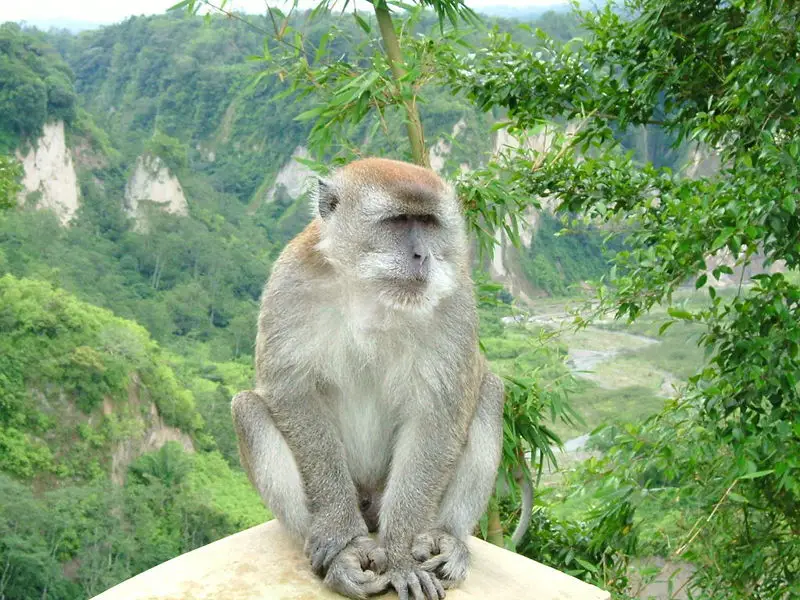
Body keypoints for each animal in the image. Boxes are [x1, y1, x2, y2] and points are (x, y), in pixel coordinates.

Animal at [231, 157, 505, 600]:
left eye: (427, 222)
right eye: (398, 221)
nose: (422, 254)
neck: (369, 289)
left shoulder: (457, 298)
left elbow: (438, 414)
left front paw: (400, 554)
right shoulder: (290, 280)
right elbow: (292, 392)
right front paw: (340, 533)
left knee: (491, 393)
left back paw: (448, 538)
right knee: (248, 408)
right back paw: (344, 554)